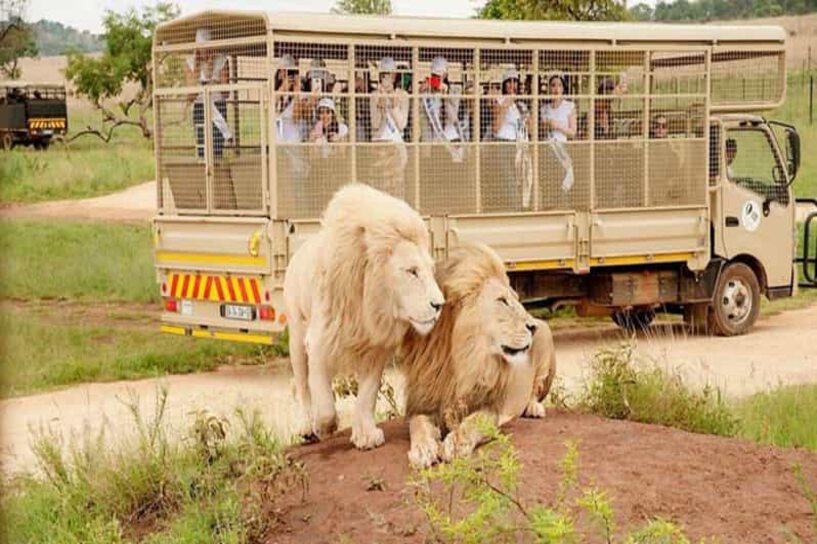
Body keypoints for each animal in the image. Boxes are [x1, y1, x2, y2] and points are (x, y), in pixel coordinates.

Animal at [283, 183, 444, 450]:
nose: (439, 304)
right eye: (412, 271)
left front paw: (366, 436)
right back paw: (307, 425)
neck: (370, 303)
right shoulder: (319, 341)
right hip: (296, 333)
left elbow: (367, 395)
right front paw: (325, 427)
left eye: (431, 271)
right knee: (303, 384)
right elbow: (323, 400)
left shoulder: (376, 346)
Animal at [401, 242, 556, 468]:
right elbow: (418, 425)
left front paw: (457, 442)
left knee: (536, 391)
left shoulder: (492, 407)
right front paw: (423, 449)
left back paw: (534, 408)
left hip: (547, 347)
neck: (465, 359)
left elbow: (474, 422)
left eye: (517, 300)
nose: (532, 327)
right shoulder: (423, 402)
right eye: (502, 301)